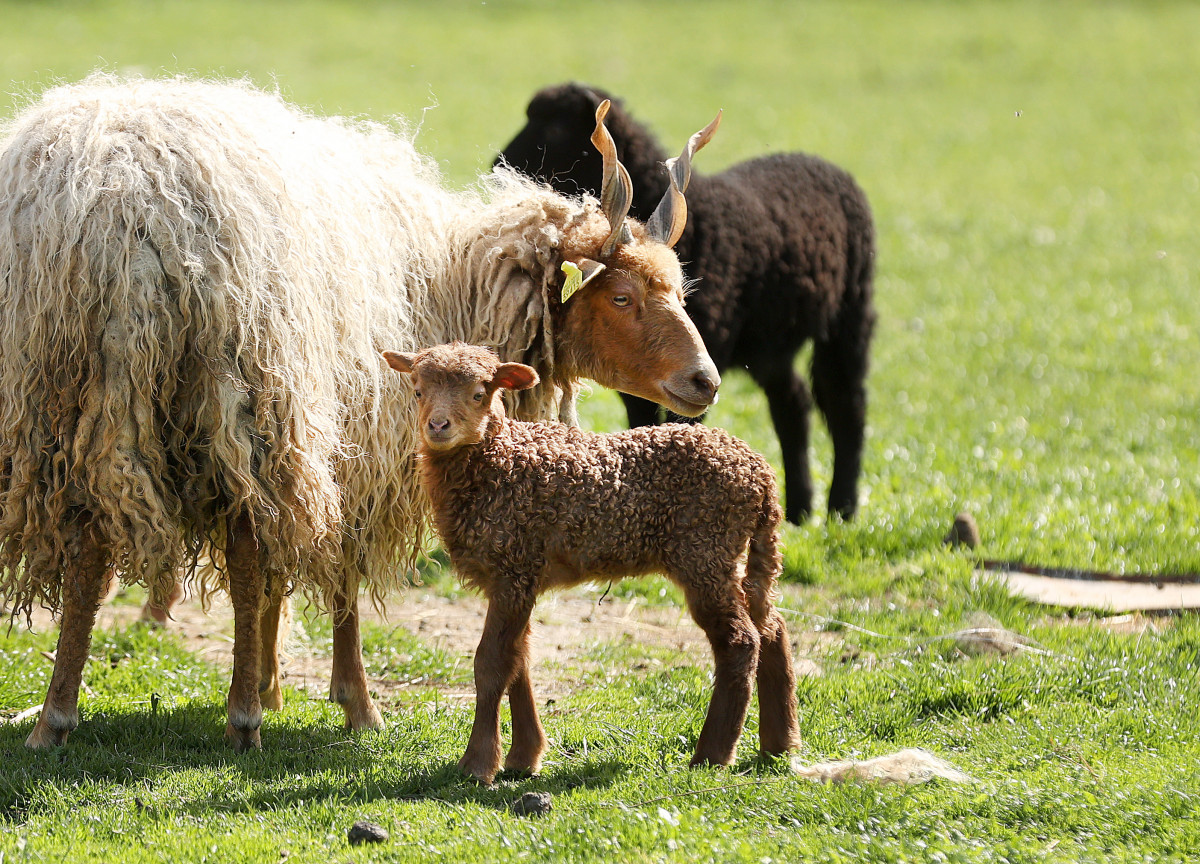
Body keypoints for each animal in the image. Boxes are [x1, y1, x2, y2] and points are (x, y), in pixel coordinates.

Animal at [384, 343, 796, 782]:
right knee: (771, 626)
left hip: (705, 550)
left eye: (480, 393)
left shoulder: (513, 567)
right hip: (738, 555)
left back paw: (712, 755)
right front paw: (523, 758)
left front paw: (477, 765)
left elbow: (492, 664)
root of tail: (762, 476)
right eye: (417, 391)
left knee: (740, 640)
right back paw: (779, 745)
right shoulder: (517, 577)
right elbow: (518, 663)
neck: (498, 459)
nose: (437, 425)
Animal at [492, 84, 878, 523]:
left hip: (851, 313)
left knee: (846, 402)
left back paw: (843, 507)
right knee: (792, 402)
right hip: (770, 343)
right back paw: (799, 508)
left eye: (556, 127)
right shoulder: (644, 364)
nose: (497, 165)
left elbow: (684, 428)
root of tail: (818, 160)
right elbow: (642, 424)